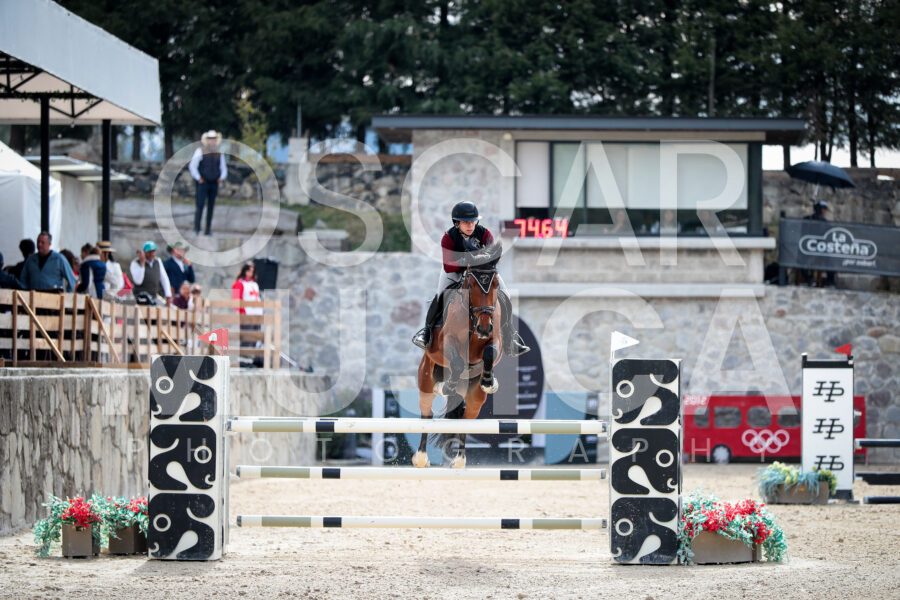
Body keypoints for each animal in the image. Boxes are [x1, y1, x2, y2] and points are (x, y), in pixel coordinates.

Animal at [413, 263, 503, 469]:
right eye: (471, 285)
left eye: (495, 284)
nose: (484, 327)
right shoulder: (445, 341)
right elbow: (457, 362)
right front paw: (448, 385)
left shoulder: (496, 340)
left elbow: (489, 352)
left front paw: (488, 382)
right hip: (426, 381)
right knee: (426, 414)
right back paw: (421, 458)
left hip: (475, 399)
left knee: (464, 421)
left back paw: (459, 460)